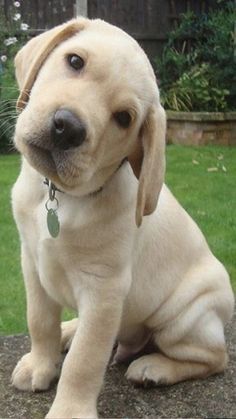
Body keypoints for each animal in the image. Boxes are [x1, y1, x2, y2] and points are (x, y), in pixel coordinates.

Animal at [11, 17, 234, 419]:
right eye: (74, 61)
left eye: (123, 118)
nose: (67, 127)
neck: (63, 198)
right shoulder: (31, 262)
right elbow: (40, 321)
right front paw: (40, 364)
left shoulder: (104, 289)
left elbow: (84, 360)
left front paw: (69, 411)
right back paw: (71, 329)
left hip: (184, 317)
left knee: (213, 358)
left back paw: (154, 368)